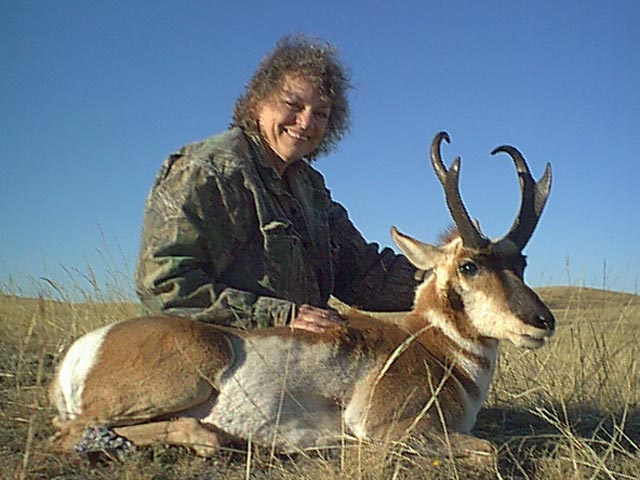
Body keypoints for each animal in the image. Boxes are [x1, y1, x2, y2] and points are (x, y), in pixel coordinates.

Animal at [48, 131, 556, 462]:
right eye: (470, 265)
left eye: (522, 263)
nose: (542, 322)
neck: (431, 347)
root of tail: (84, 349)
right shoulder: (391, 427)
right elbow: (489, 451)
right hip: (187, 375)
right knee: (71, 432)